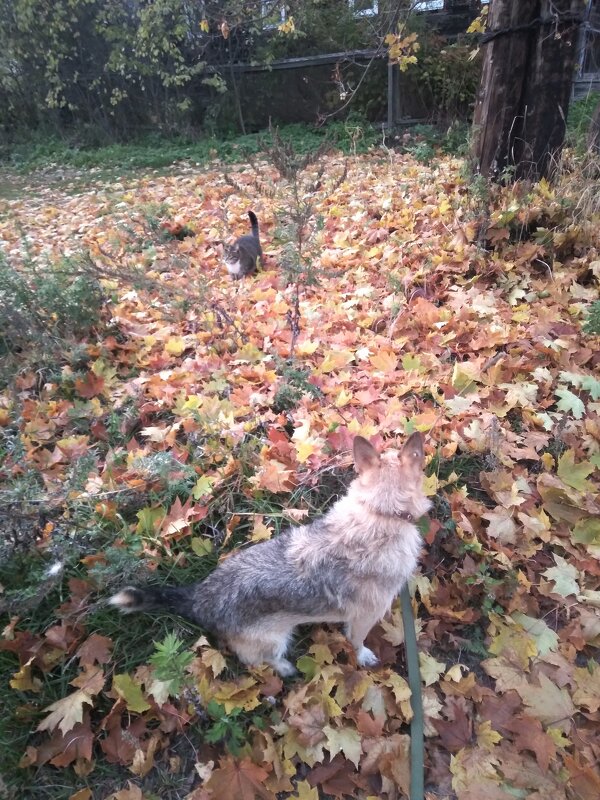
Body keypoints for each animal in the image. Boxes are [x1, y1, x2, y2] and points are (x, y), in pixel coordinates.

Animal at [110, 432, 432, 676]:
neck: (381, 513)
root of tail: (200, 598)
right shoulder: (364, 618)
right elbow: (356, 640)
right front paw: (363, 655)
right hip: (273, 640)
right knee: (259, 660)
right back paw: (286, 668)